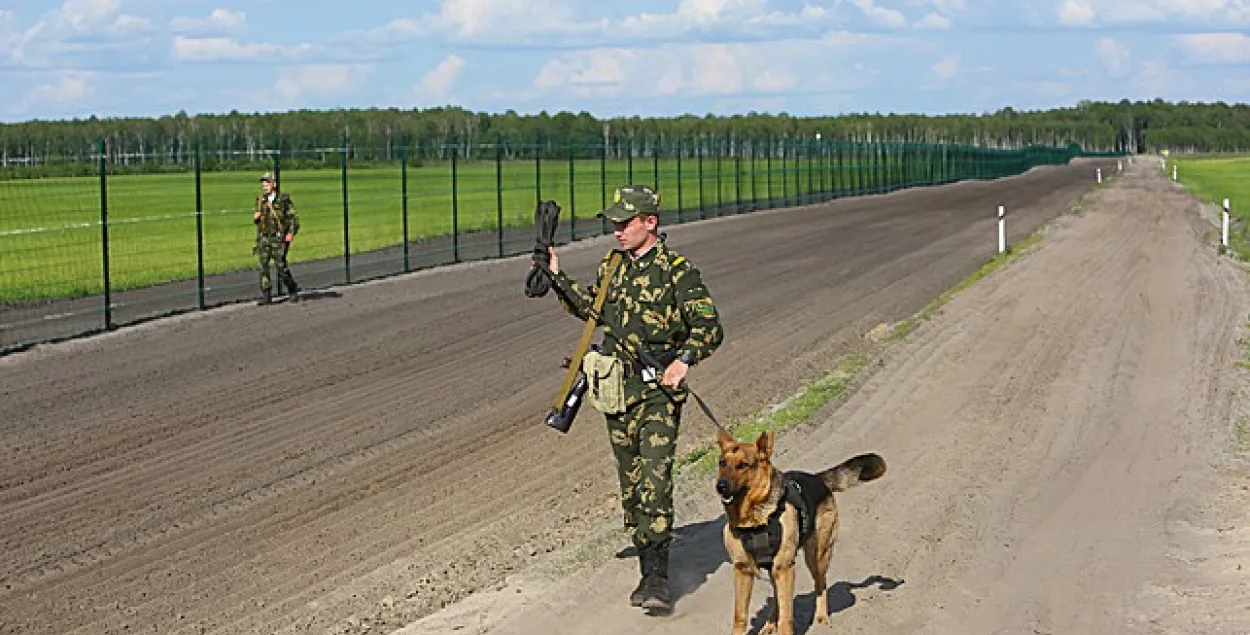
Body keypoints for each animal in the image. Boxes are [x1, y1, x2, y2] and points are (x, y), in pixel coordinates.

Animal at [720, 430, 885, 632]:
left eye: (743, 465)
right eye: (721, 463)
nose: (721, 486)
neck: (753, 521)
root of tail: (817, 478)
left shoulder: (784, 567)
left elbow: (786, 616)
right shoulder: (743, 570)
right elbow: (740, 616)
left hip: (816, 557)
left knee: (820, 584)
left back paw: (821, 616)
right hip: (778, 569)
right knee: (778, 597)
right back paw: (769, 624)